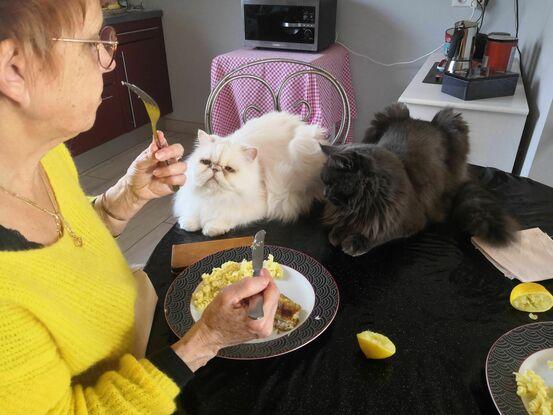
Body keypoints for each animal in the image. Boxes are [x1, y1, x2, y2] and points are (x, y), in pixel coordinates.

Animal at [174, 111, 328, 237]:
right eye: (206, 162)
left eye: (229, 169)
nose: (215, 168)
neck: (213, 198)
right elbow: (191, 215)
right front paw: (189, 223)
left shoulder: (254, 207)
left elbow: (226, 216)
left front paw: (212, 228)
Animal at [322, 104, 516, 256]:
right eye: (324, 182)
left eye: (332, 183)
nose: (325, 193)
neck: (363, 205)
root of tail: (426, 121)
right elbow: (344, 224)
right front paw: (338, 232)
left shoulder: (409, 222)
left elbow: (380, 234)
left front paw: (355, 241)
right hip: (387, 114)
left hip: (454, 126)